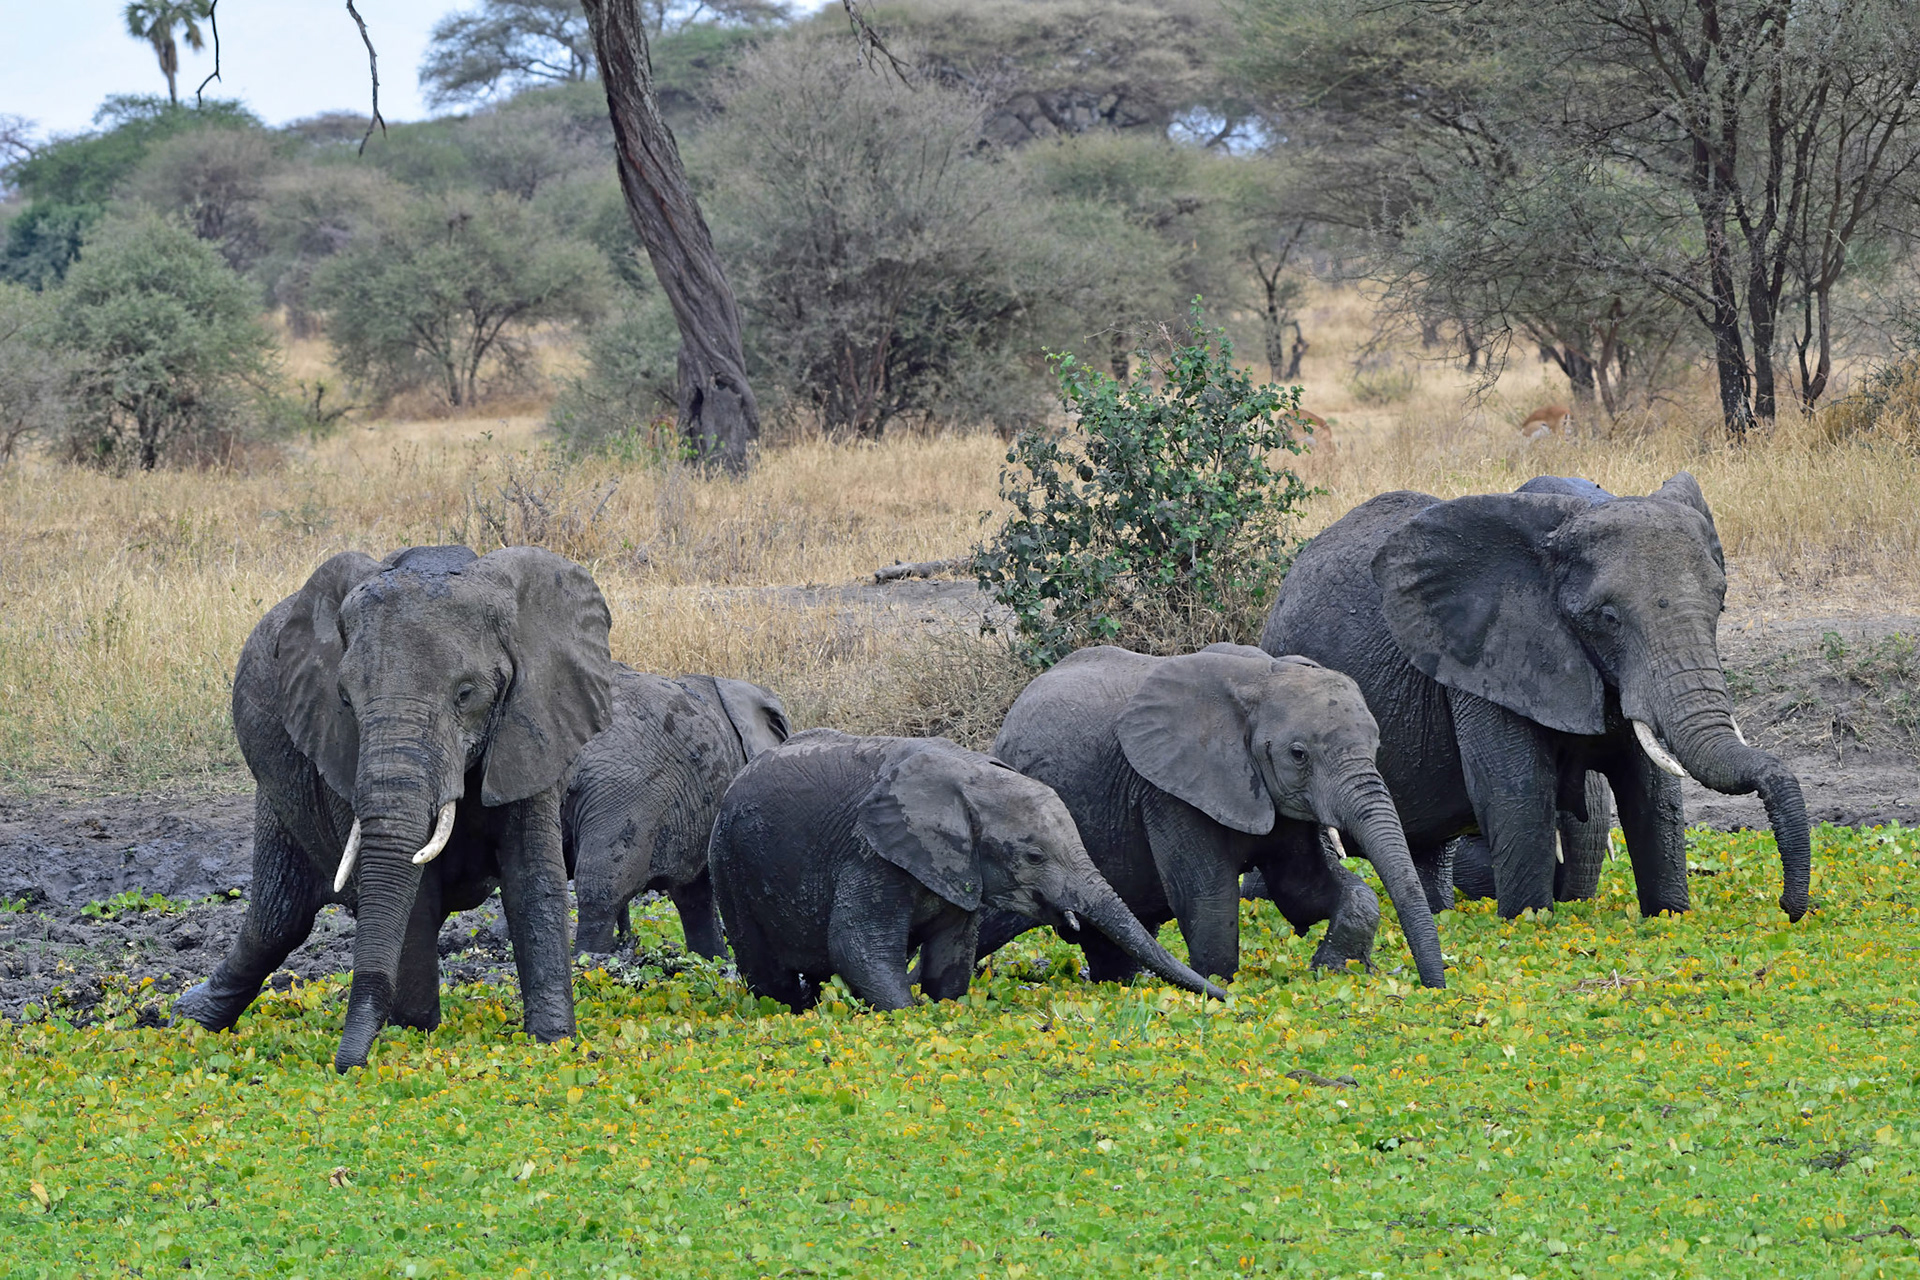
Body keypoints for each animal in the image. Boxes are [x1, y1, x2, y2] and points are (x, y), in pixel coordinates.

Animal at [175, 545, 616, 1071]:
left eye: (465, 694)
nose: (347, 1067)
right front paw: (416, 1033)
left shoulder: (536, 722)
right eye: (345, 699)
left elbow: (532, 877)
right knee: (277, 919)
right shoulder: (334, 746)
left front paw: (553, 1045)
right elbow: (412, 892)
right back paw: (181, 1020)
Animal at [708, 729, 1227, 1011]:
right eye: (1034, 857)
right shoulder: (870, 854)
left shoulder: (961, 867)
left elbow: (953, 952)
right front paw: (909, 1016)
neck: (969, 778)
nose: (1228, 997)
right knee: (767, 973)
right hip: (728, 867)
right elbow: (856, 946)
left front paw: (943, 1009)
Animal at [980, 644, 1447, 989]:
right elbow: (1208, 897)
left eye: (1376, 744)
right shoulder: (1168, 789)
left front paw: (1331, 972)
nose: (1432, 988)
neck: (1261, 679)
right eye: (1299, 754)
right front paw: (1219, 987)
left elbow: (1302, 890)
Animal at [1259, 473, 1811, 922]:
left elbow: (1654, 795)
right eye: (1608, 618)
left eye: (1721, 604)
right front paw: (1528, 924)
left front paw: (1669, 917)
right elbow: (1517, 793)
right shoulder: (1483, 654)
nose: (1789, 907)